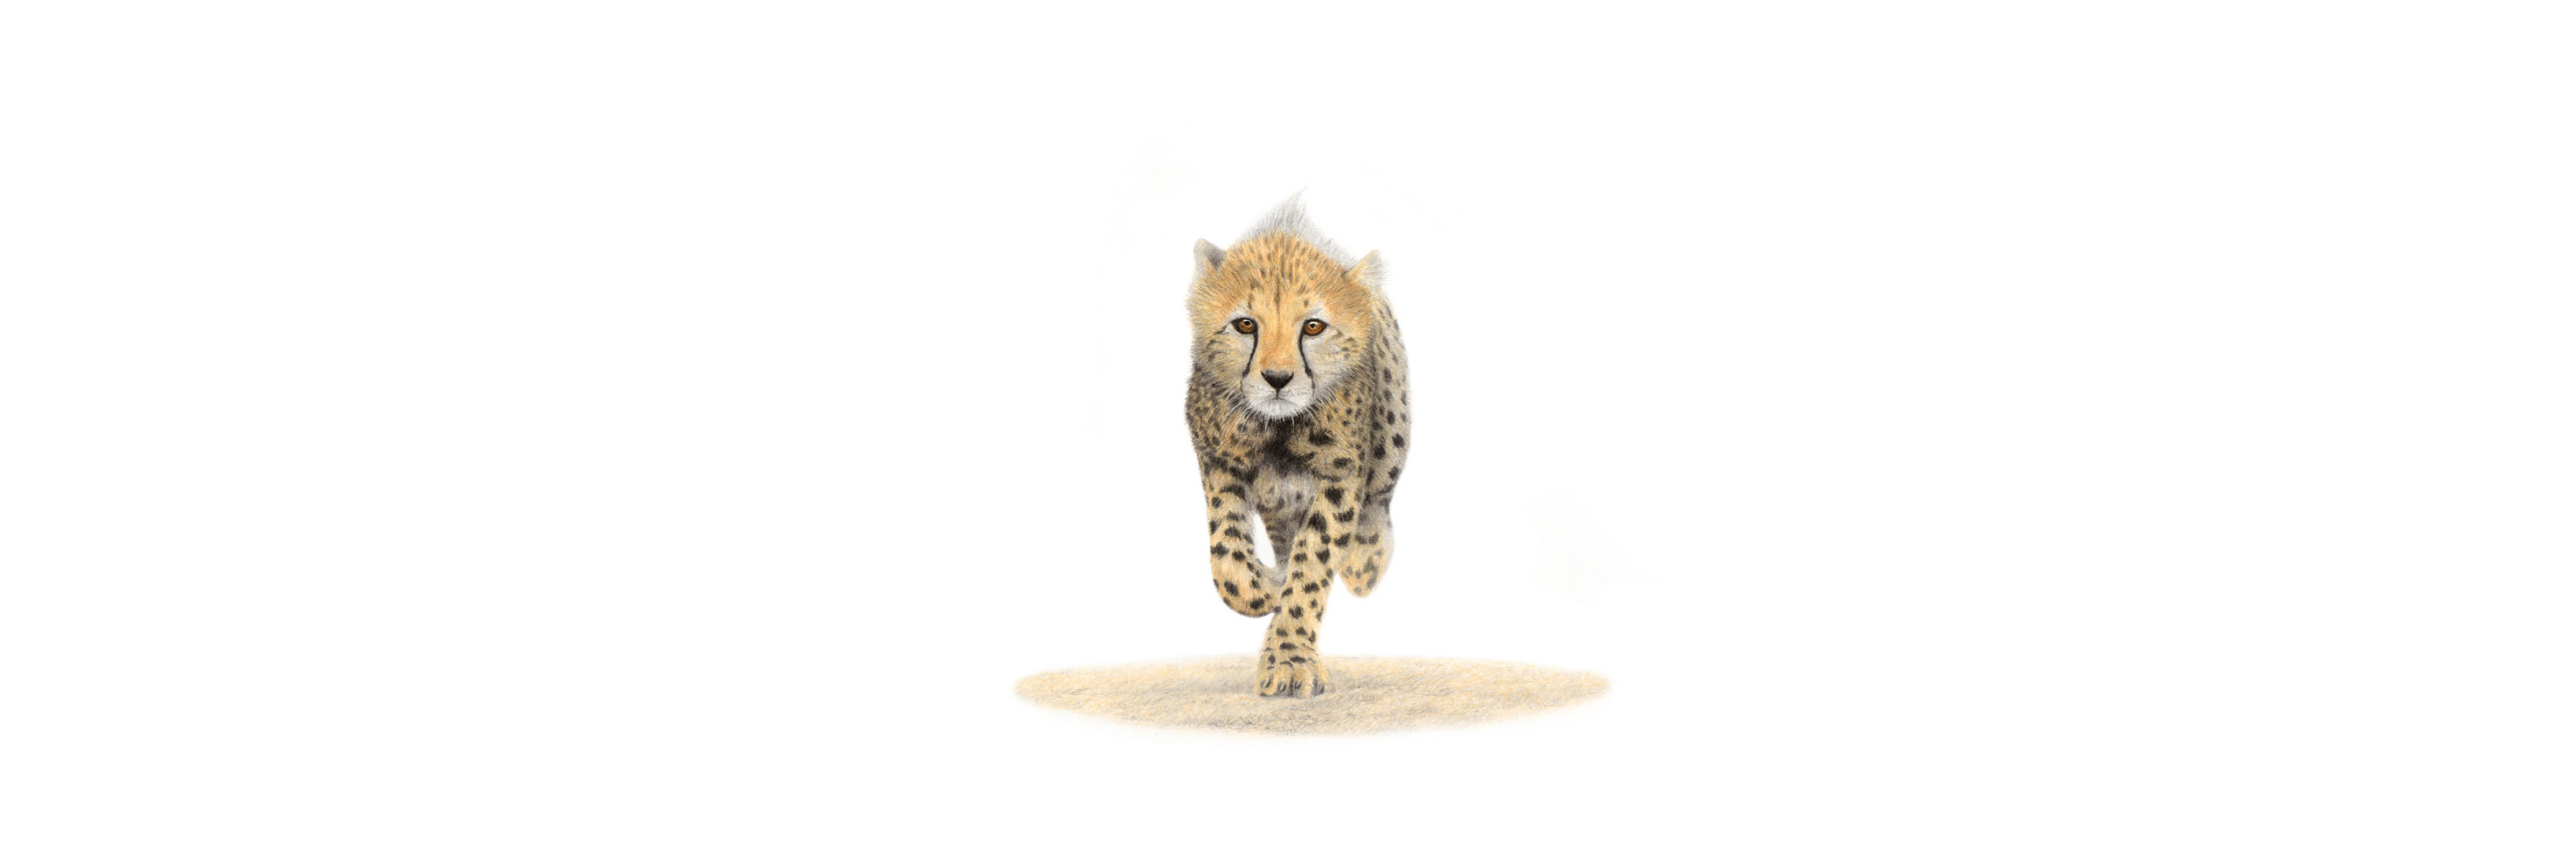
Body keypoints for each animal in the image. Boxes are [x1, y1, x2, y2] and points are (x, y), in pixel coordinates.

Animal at [1183, 198, 1411, 698]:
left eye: (1314, 326)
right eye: (1245, 325)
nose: (1278, 379)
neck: (1279, 429)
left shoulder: (1340, 475)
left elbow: (1314, 563)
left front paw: (1289, 659)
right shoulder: (1218, 460)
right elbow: (1228, 560)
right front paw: (1266, 589)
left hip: (1392, 433)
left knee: (1380, 497)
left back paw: (1366, 561)